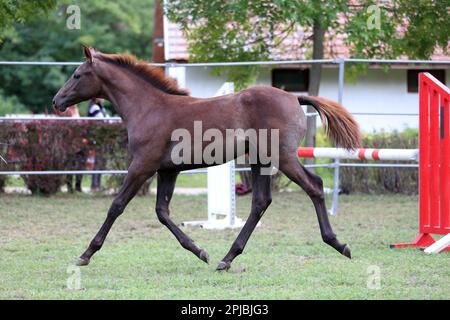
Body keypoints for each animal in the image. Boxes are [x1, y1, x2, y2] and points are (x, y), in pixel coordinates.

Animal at [52, 47, 362, 272]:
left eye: (77, 75)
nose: (57, 102)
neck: (149, 108)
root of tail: (295, 98)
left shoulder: (142, 166)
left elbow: (116, 206)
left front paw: (86, 254)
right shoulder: (168, 170)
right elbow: (162, 212)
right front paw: (200, 251)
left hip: (282, 157)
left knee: (314, 185)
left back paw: (338, 244)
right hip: (260, 160)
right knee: (261, 202)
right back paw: (227, 258)